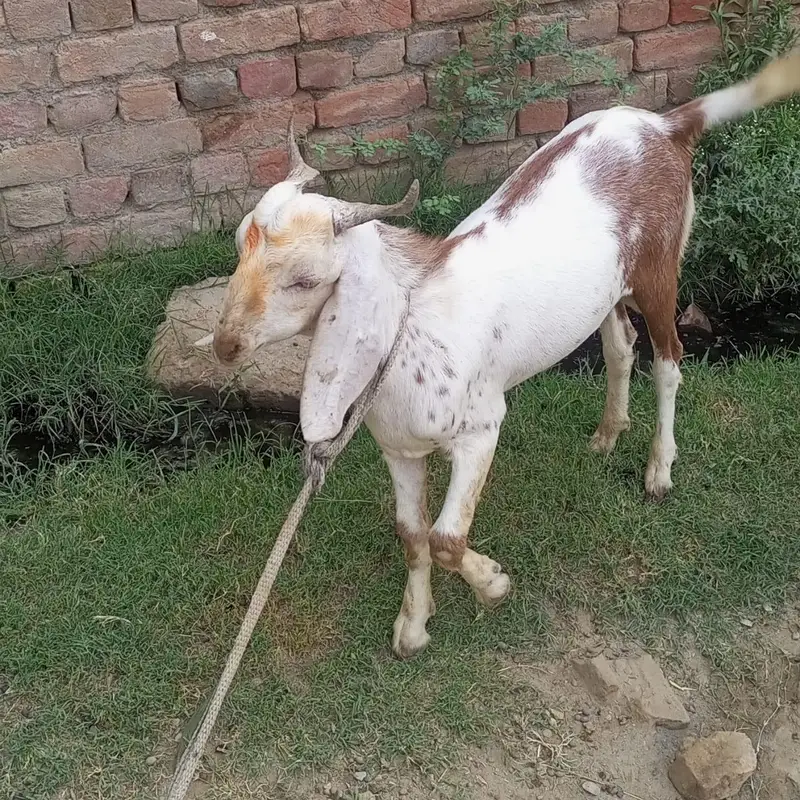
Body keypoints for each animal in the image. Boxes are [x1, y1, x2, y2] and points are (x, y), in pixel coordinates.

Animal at [208, 52, 800, 658]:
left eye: (305, 280)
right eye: (237, 247)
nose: (227, 344)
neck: (412, 335)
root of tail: (666, 125)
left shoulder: (482, 428)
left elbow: (446, 537)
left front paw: (493, 584)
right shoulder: (399, 449)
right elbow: (412, 534)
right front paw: (413, 628)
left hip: (659, 269)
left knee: (669, 359)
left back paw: (658, 471)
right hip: (607, 291)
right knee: (620, 346)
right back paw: (607, 435)